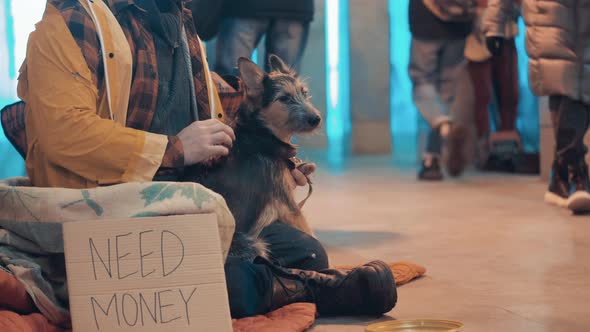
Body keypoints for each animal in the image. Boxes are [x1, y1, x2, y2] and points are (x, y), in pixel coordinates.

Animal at [186, 55, 322, 260]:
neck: (262, 133)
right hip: (254, 244)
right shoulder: (288, 206)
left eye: (304, 93)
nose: (316, 119)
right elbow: (309, 232)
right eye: (284, 98)